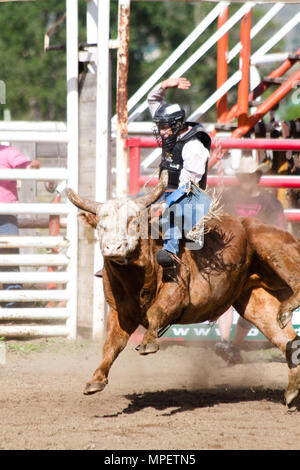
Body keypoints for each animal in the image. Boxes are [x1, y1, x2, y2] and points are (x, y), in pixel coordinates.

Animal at [67, 175, 300, 408]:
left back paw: (287, 309)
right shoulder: (120, 312)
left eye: (134, 221)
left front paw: (148, 343)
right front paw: (96, 379)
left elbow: (155, 312)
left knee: (295, 283)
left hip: (272, 248)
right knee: (286, 339)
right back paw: (291, 390)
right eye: (101, 226)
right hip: (256, 301)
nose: (113, 247)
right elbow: (111, 345)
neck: (136, 279)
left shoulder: (177, 295)